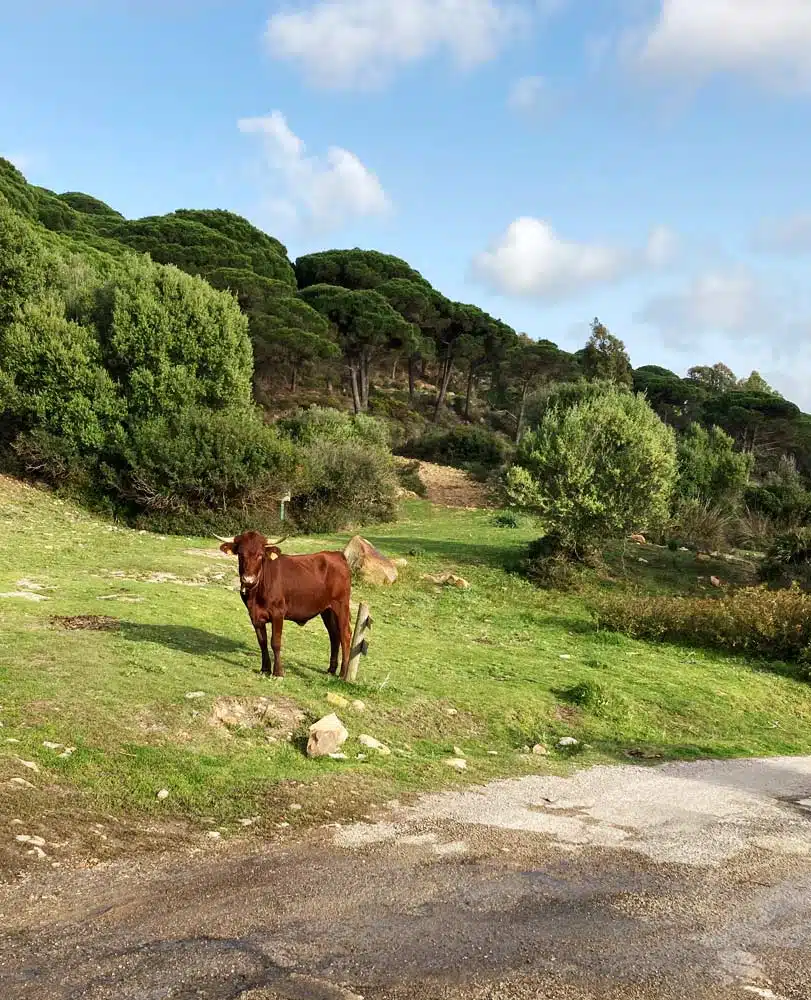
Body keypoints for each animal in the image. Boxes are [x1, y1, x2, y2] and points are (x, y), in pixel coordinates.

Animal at [217, 532, 354, 680]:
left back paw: (343, 674)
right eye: (241, 554)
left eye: (260, 555)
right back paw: (331, 670)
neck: (256, 593)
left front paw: (278, 673)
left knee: (345, 635)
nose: (248, 579)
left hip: (341, 605)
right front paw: (265, 669)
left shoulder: (278, 613)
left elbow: (275, 642)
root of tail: (337, 555)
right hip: (327, 610)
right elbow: (262, 642)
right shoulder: (255, 616)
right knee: (334, 635)